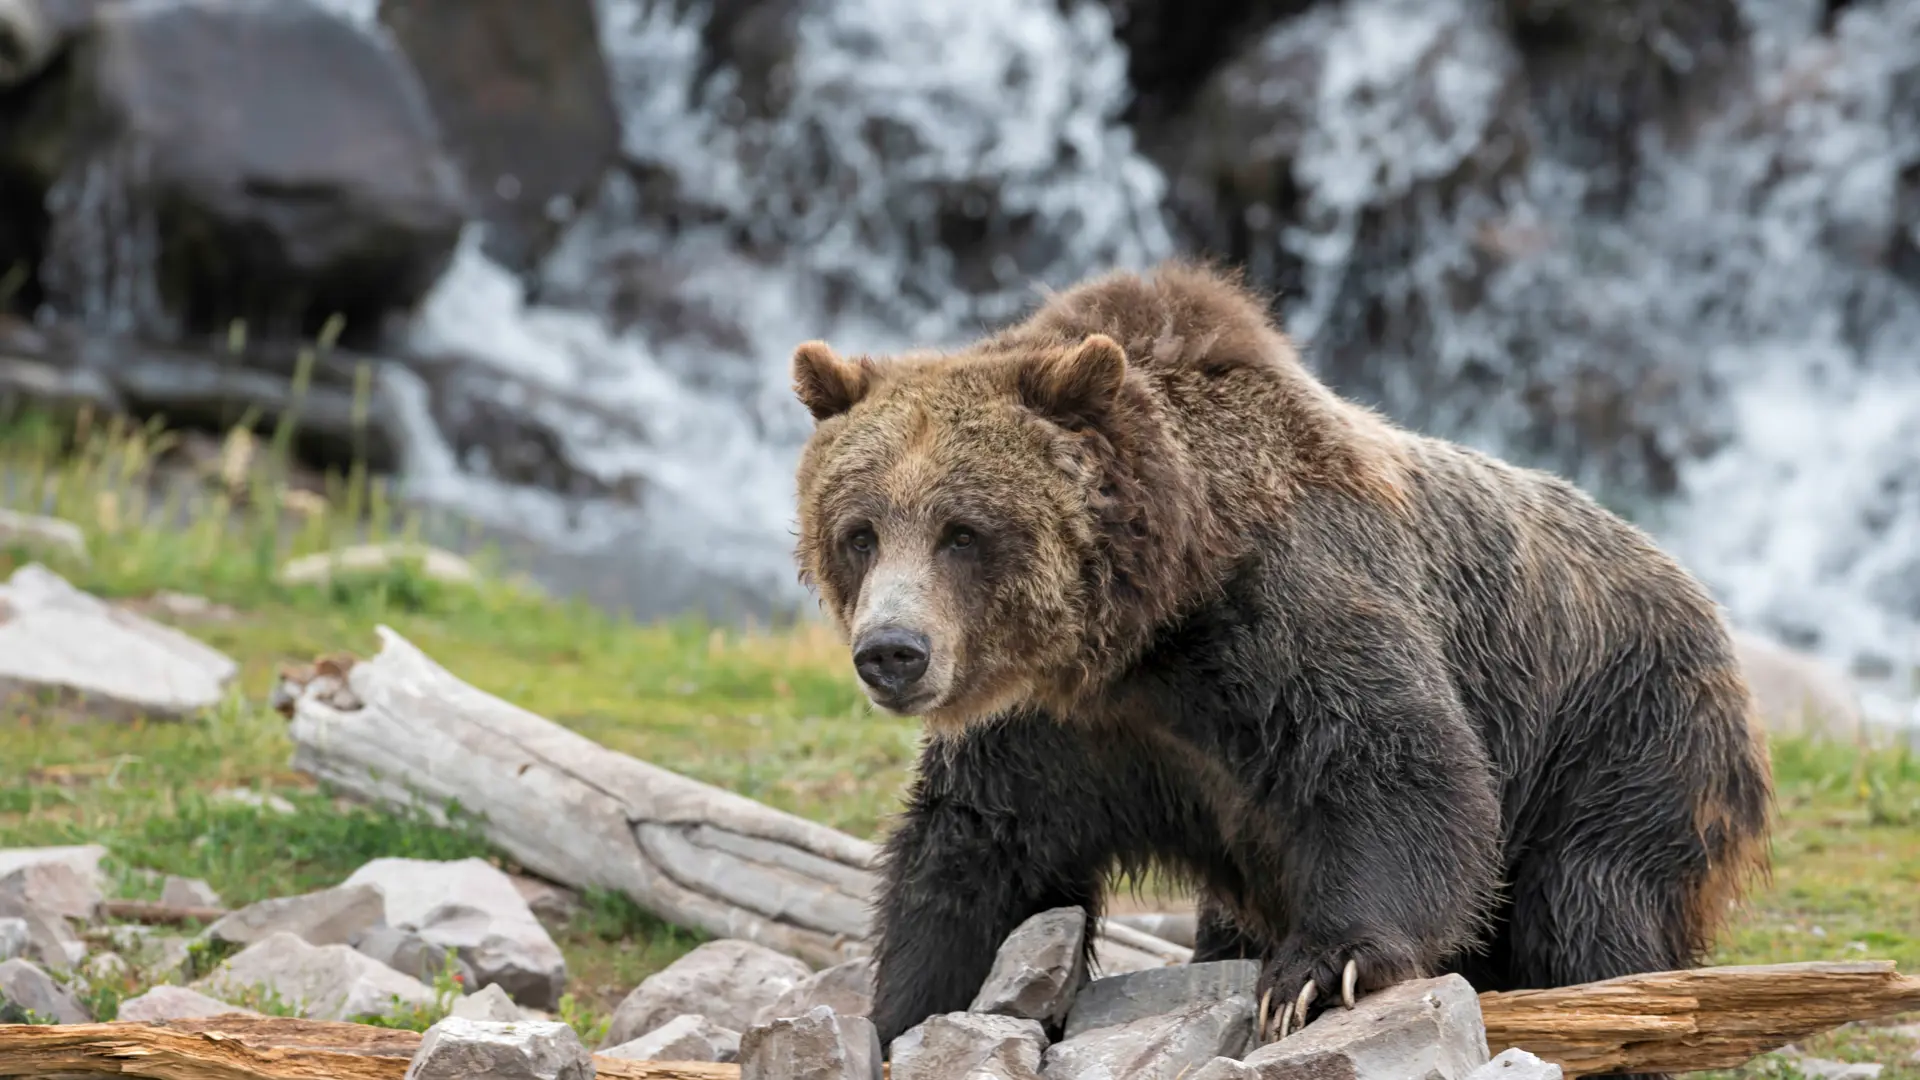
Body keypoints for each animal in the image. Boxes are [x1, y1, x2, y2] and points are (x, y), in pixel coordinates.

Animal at [787, 260, 1773, 1067]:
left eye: (964, 531)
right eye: (860, 531)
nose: (892, 652)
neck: (1148, 626)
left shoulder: (1285, 622)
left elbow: (1398, 768)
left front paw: (1318, 972)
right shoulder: (1061, 731)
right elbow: (975, 854)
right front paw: (901, 1012)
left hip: (1624, 735)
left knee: (1591, 903)